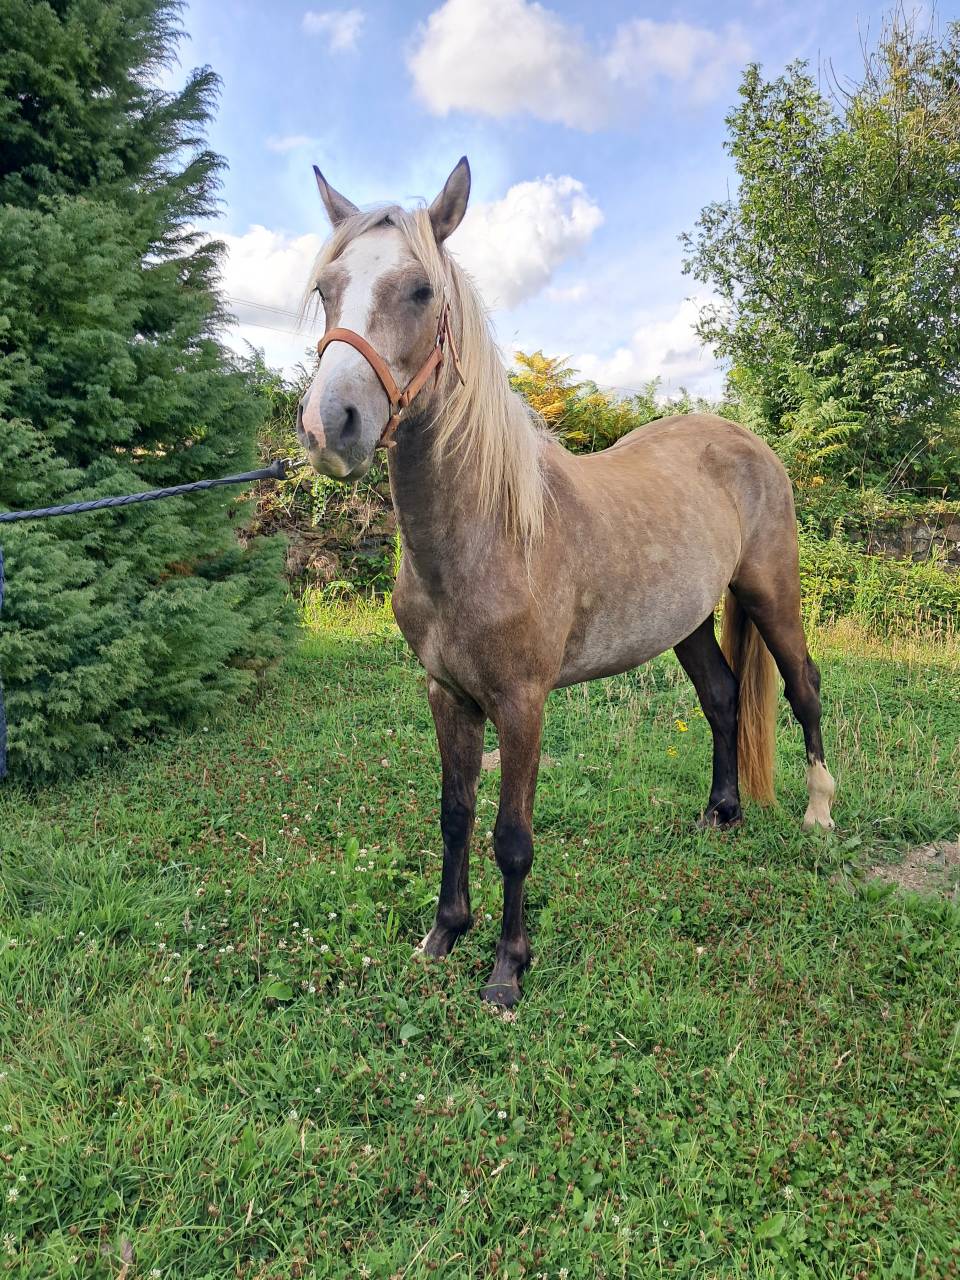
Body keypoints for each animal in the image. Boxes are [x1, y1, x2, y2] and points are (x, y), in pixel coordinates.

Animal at [295, 157, 836, 1008]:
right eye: (327, 287)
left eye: (420, 291)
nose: (330, 425)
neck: (486, 534)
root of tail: (746, 442)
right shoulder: (446, 694)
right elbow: (456, 814)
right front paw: (444, 934)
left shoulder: (523, 703)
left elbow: (512, 837)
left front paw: (507, 970)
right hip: (685, 622)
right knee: (721, 699)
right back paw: (720, 814)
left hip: (772, 594)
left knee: (803, 688)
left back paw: (818, 813)